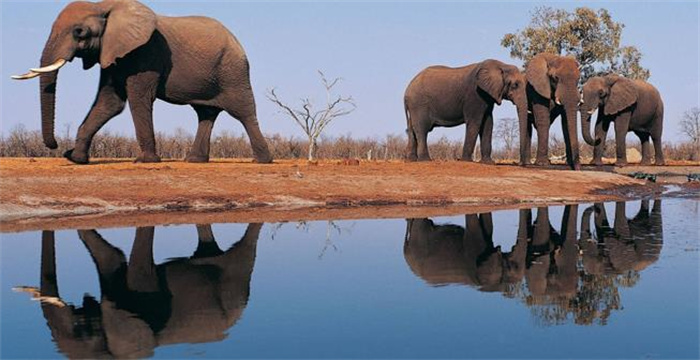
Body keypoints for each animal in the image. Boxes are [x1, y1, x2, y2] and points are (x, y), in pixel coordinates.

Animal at [13, 0, 274, 165]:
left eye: (79, 32)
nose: (57, 146)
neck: (103, 7)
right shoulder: (113, 55)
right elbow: (109, 103)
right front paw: (76, 159)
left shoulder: (145, 53)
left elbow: (138, 99)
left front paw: (145, 161)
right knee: (205, 113)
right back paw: (194, 161)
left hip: (234, 71)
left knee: (244, 112)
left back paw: (262, 161)